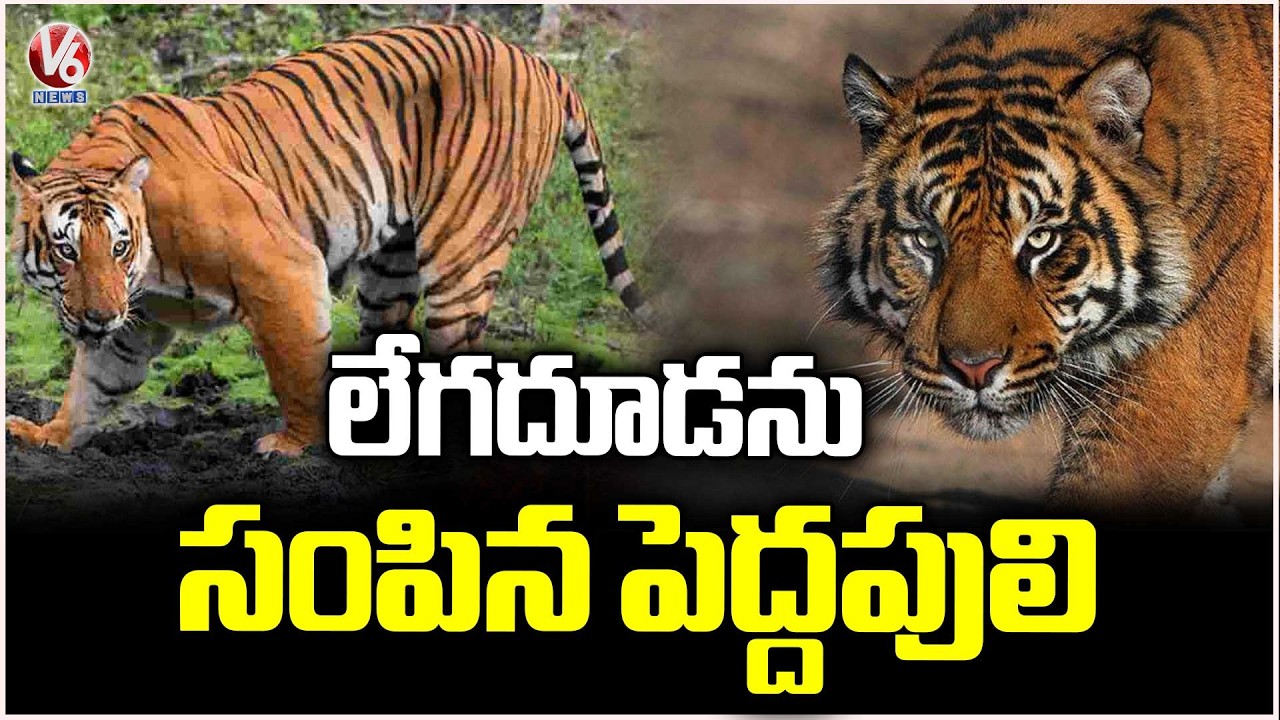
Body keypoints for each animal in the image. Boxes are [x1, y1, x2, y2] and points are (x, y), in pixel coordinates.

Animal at [6, 23, 655, 457]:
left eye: (117, 246)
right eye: (67, 250)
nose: (95, 316)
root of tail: (542, 63)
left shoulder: (281, 265)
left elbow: (294, 365)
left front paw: (294, 444)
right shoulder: (131, 322)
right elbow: (94, 384)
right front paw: (47, 435)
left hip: (464, 253)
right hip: (392, 268)